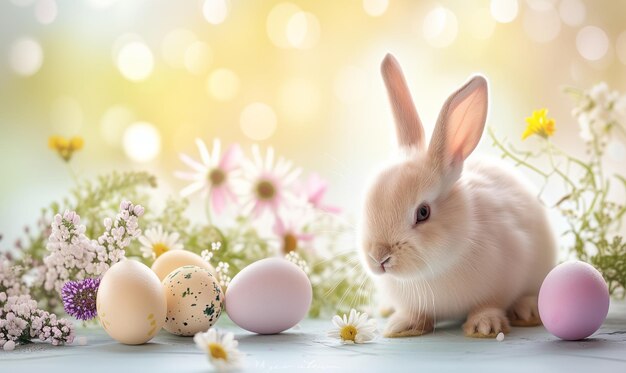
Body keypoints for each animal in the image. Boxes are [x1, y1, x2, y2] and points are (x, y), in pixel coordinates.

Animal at [356, 54, 556, 338]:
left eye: (423, 213)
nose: (378, 257)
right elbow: (415, 313)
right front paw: (403, 325)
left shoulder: (502, 280)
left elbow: (490, 304)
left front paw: (484, 326)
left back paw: (526, 310)